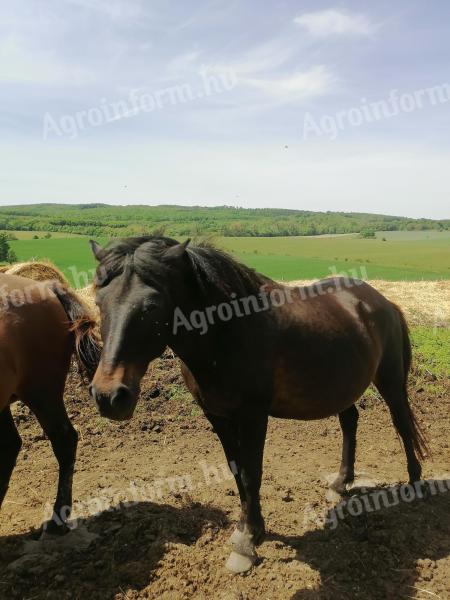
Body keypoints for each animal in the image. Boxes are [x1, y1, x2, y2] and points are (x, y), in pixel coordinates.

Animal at [88, 237, 428, 576]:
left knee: (402, 423)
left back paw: (414, 484)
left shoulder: (253, 415)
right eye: (98, 302)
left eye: (151, 306)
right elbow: (236, 469)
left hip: (390, 381)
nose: (109, 395)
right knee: (350, 423)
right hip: (342, 386)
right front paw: (247, 529)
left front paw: (248, 542)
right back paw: (340, 484)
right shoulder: (217, 415)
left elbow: (251, 472)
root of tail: (382, 302)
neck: (227, 334)